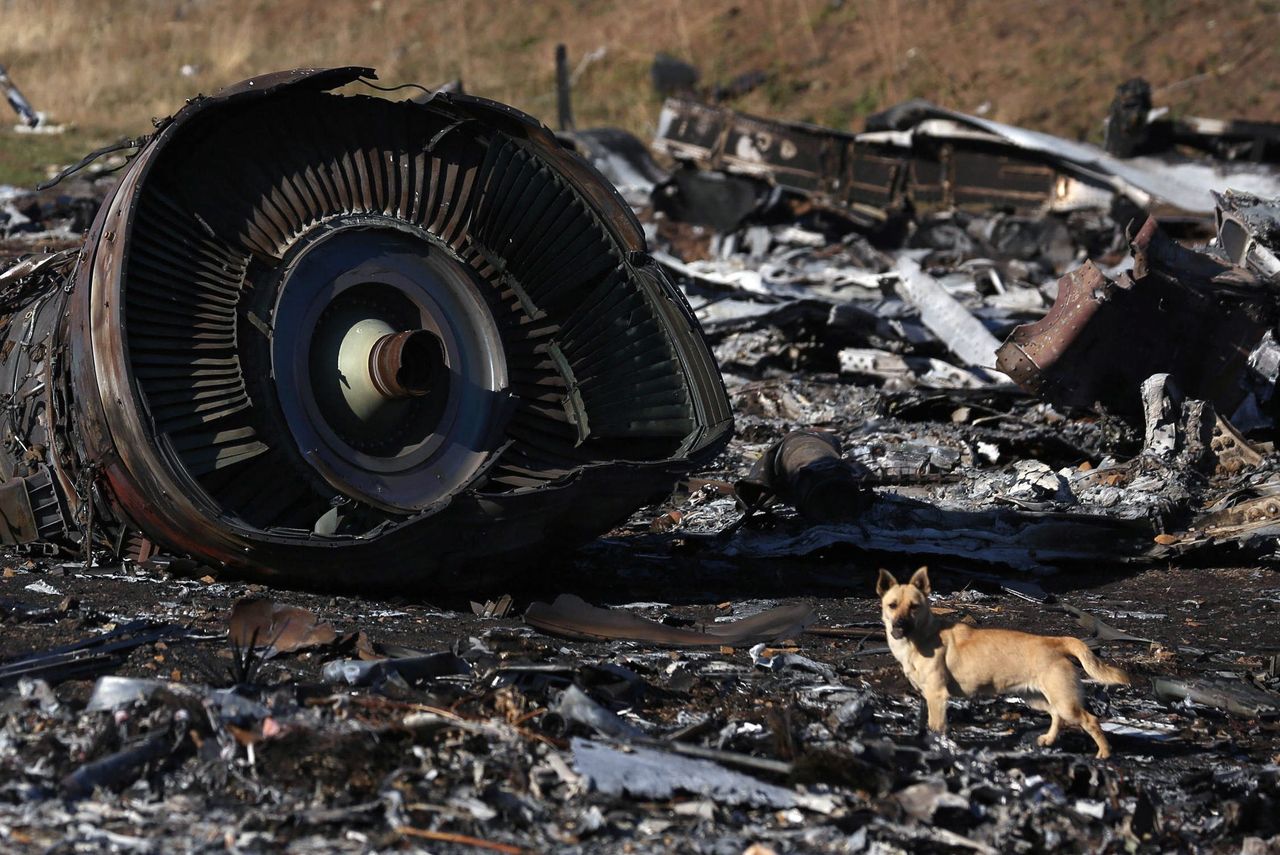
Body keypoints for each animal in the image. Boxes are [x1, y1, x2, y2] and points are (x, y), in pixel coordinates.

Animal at [880, 568, 1131, 752]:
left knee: (1090, 720)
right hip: (1036, 698)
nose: (899, 625)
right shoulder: (926, 696)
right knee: (1056, 715)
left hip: (1065, 702)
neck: (922, 636)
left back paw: (1104, 754)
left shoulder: (937, 696)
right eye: (892, 605)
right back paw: (1048, 740)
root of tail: (1055, 641)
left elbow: (937, 727)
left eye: (914, 607)